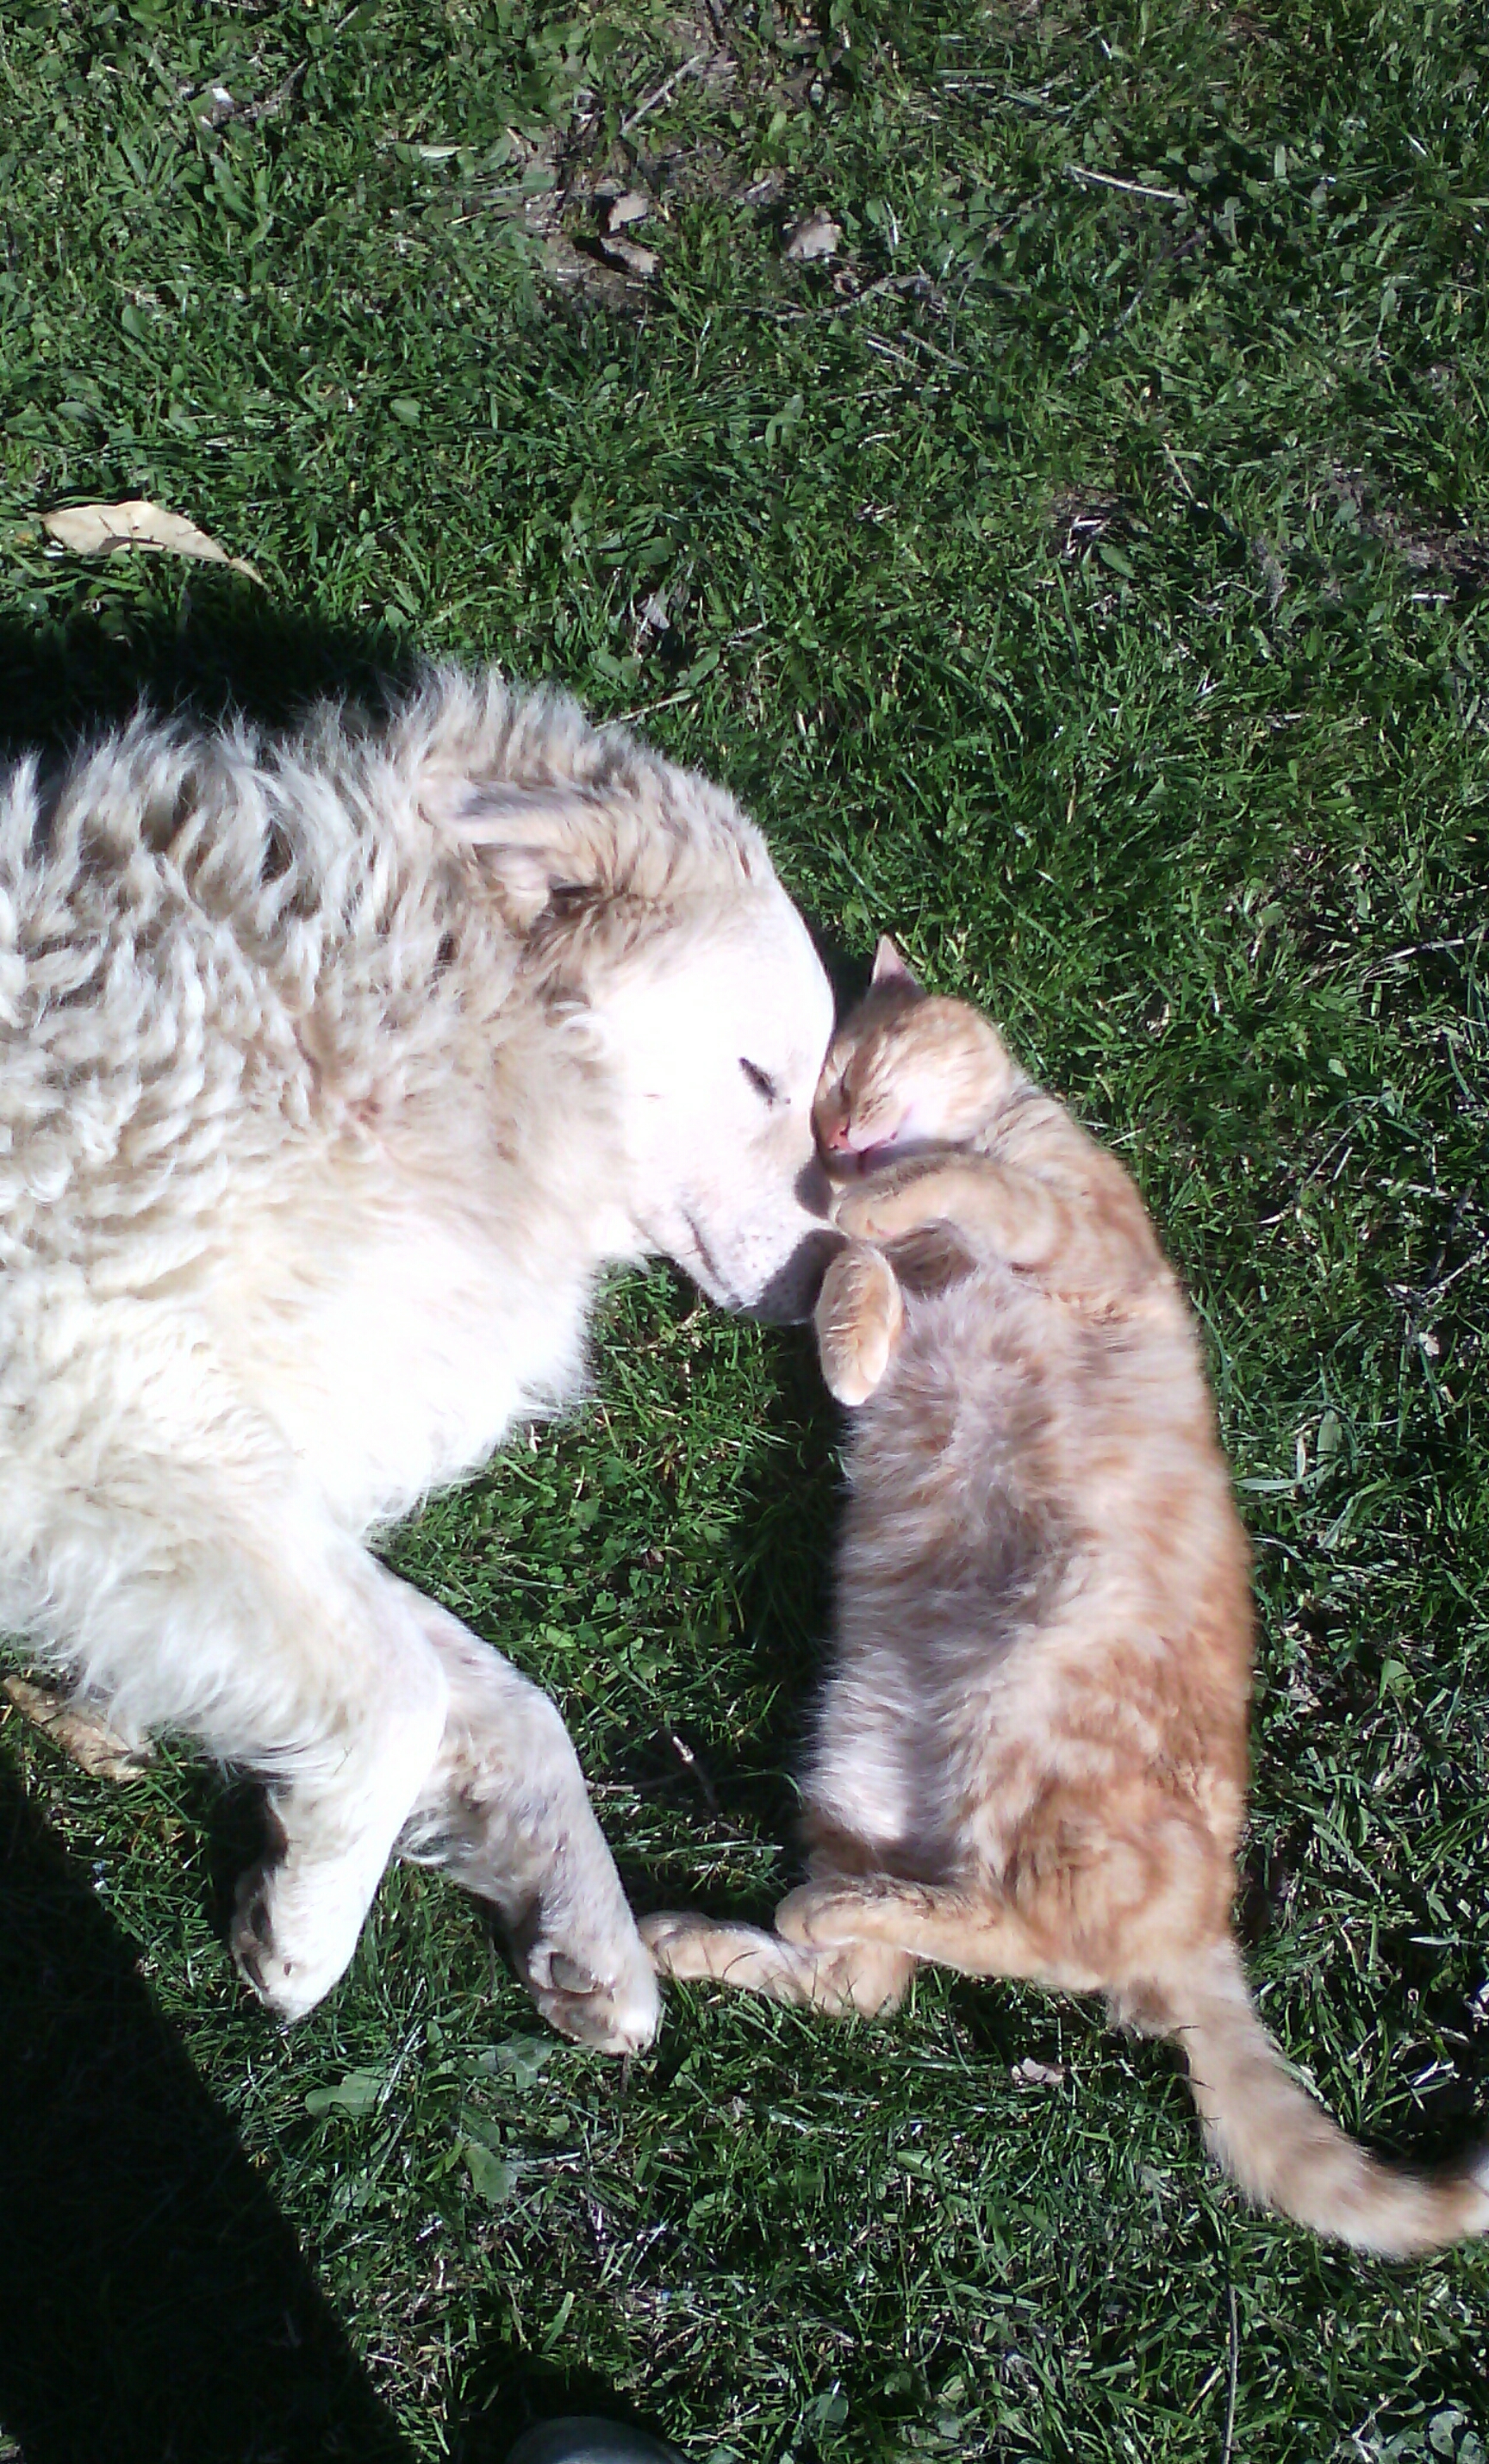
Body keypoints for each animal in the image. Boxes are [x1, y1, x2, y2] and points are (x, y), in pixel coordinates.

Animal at [0, 665, 838, 2050]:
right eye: (765, 1078)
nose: (841, 1278)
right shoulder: (112, 1410)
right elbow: (403, 1694)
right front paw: (308, 1927)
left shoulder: (231, 1493)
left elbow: (495, 1694)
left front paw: (585, 1932)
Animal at [651, 950, 1489, 2256]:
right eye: (819, 1094)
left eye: (851, 1068)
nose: (831, 1139)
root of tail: (1204, 1927)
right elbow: (856, 1273)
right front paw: (852, 1329)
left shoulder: (1074, 1230)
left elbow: (950, 1193)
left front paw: (872, 1214)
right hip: (856, 1759)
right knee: (875, 1985)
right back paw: (713, 1935)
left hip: (1026, 1722)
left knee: (1027, 1945)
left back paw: (812, 1910)